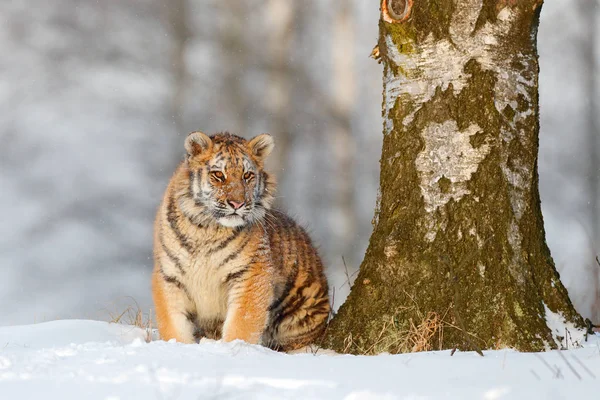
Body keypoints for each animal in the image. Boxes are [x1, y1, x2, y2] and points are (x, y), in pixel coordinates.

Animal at [149, 130, 328, 350]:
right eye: (218, 175)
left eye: (247, 175)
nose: (237, 203)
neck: (206, 229)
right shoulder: (169, 276)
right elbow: (173, 324)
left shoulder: (251, 274)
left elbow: (242, 323)